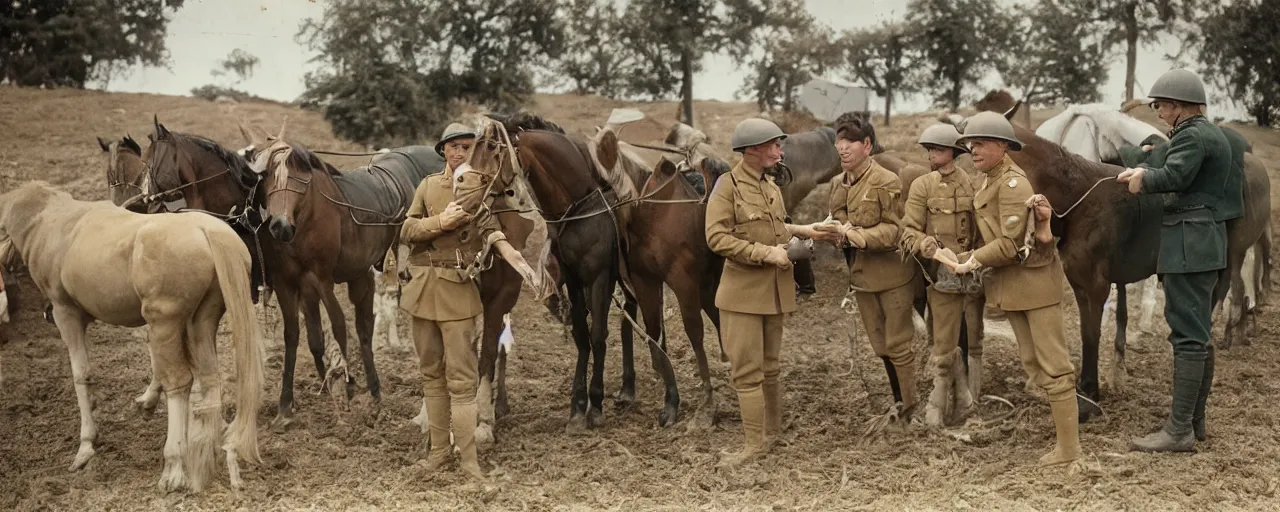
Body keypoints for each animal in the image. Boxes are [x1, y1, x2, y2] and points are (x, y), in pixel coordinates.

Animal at [0, 180, 264, 491]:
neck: (52, 221)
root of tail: (207, 230)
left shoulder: (66, 314)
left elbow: (81, 375)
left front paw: (86, 445)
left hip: (164, 322)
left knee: (179, 382)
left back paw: (174, 465)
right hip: (201, 321)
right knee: (209, 378)